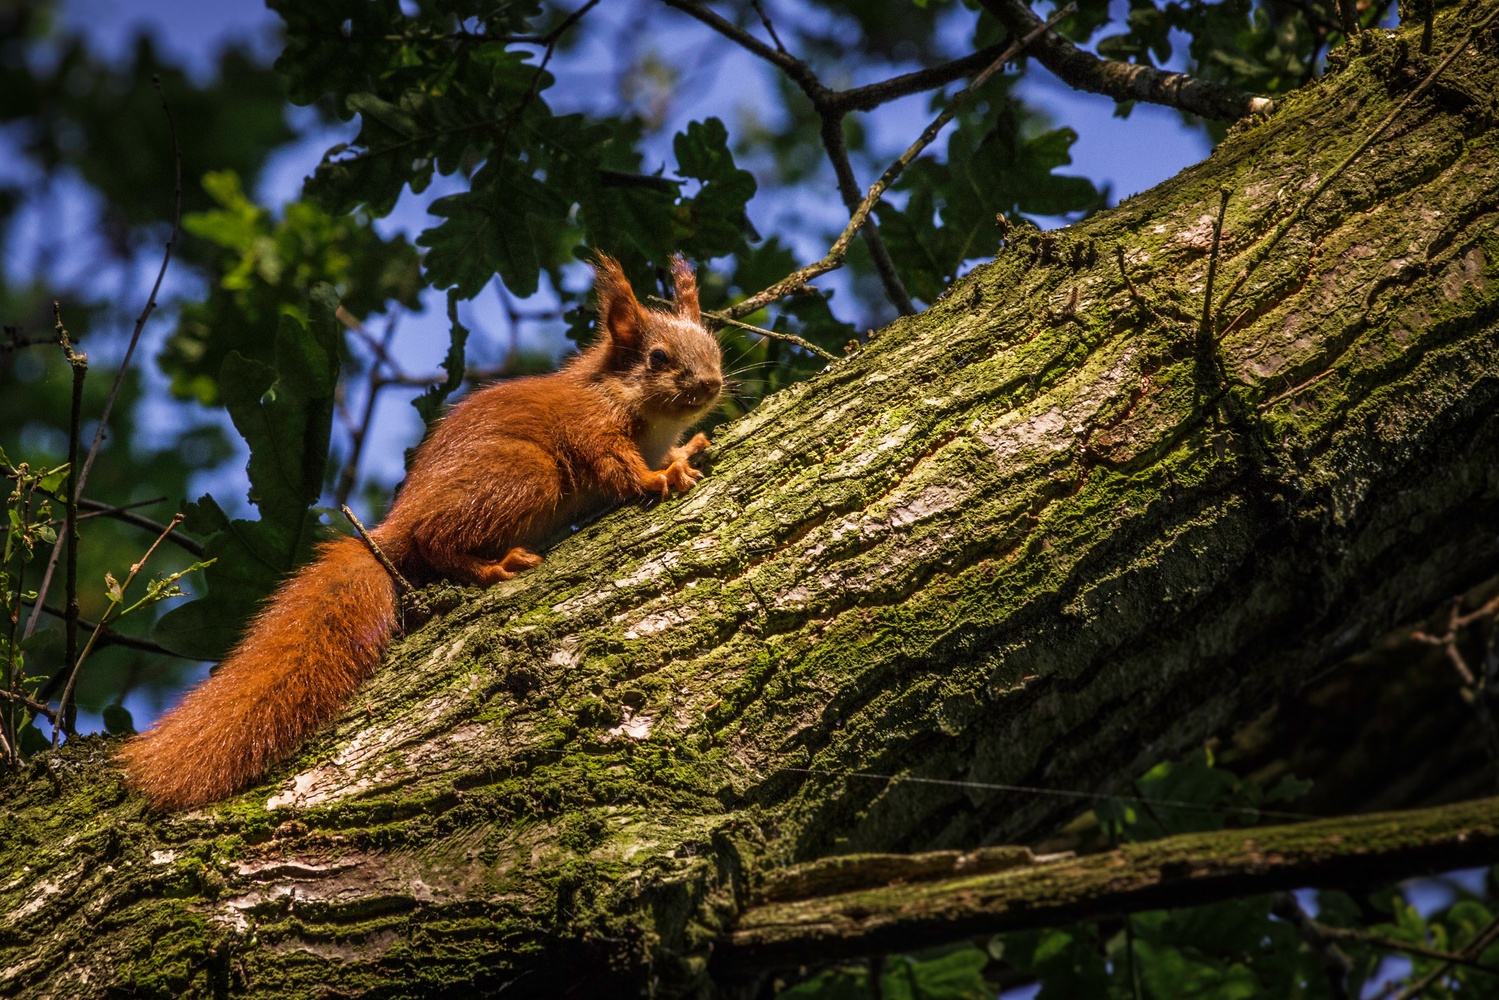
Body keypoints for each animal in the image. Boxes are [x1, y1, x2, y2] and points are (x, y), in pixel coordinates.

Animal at [119, 254, 722, 809]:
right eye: (658, 358)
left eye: (714, 345)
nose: (713, 384)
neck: (628, 400)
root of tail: (394, 528)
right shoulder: (591, 429)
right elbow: (618, 468)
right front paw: (660, 476)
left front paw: (686, 450)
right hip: (524, 475)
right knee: (436, 541)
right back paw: (492, 566)